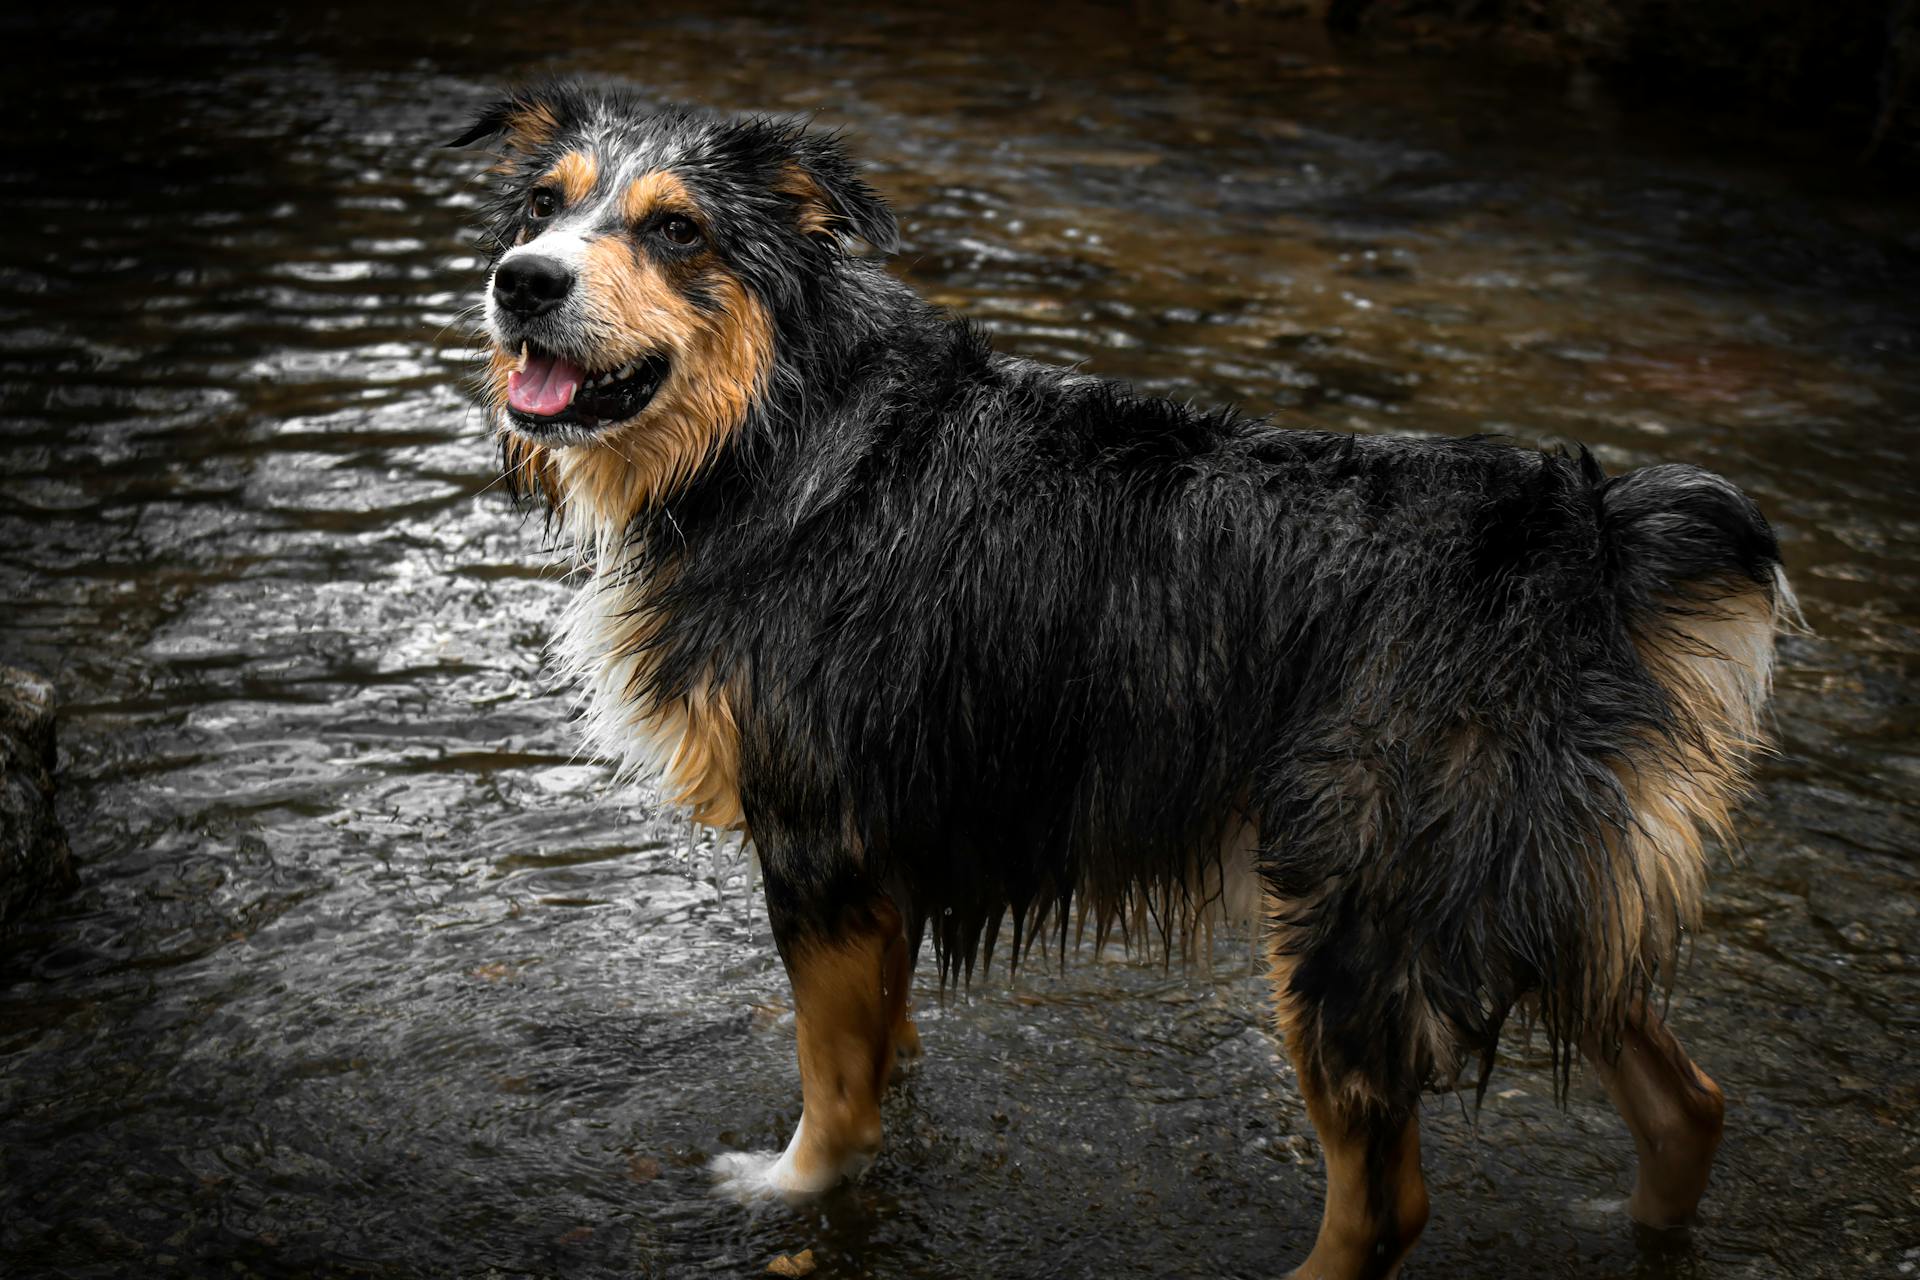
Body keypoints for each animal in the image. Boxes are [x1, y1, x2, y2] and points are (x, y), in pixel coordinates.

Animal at [453, 84, 1797, 1274]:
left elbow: (831, 1087)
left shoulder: (821, 840)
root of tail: (1593, 537)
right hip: (1533, 882)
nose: (522, 280)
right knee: (1691, 1100)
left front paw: (792, 1188)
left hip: (1360, 914)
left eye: (677, 229)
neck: (782, 434)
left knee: (1388, 1206)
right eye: (542, 206)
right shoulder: (887, 854)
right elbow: (879, 1044)